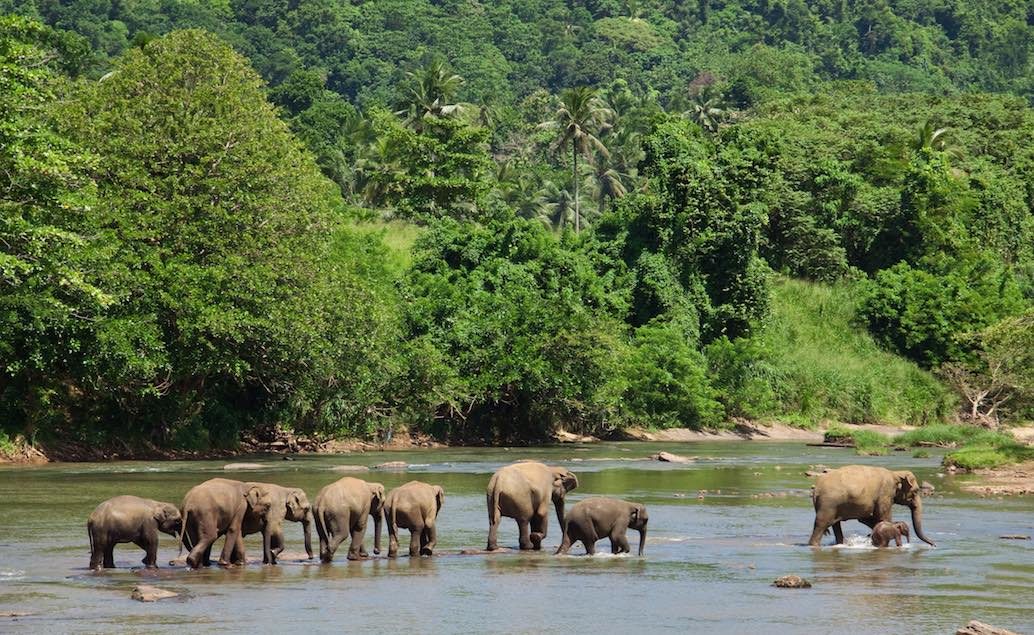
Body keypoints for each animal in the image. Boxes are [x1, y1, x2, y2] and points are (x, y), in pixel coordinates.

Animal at [806, 465, 938, 550]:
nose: (934, 545)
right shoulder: (885, 494)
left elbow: (867, 519)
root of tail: (816, 489)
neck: (895, 473)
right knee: (821, 525)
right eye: (916, 491)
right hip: (828, 504)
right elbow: (884, 518)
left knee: (835, 525)